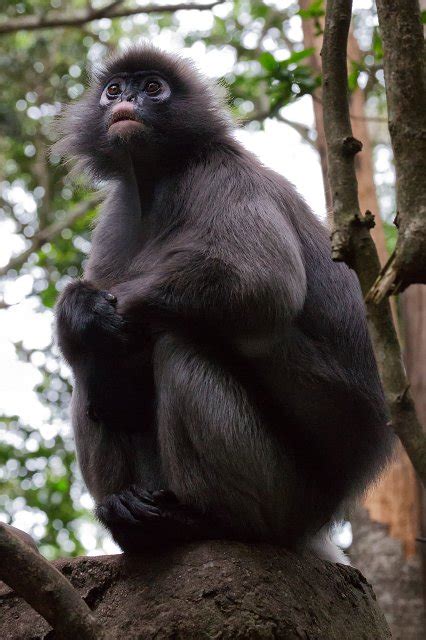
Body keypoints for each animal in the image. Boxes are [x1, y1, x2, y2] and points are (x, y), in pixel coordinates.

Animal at [55, 46, 394, 564]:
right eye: (113, 90)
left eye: (152, 87)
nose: (127, 99)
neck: (157, 179)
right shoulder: (119, 210)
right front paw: (80, 312)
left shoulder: (224, 172)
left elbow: (261, 285)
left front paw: (101, 322)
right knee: (90, 370)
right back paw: (127, 515)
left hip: (282, 493)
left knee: (177, 345)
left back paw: (205, 521)